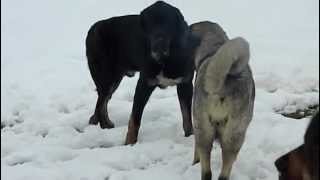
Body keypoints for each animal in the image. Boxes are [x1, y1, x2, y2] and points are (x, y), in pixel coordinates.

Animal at [86, 0, 199, 144]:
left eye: (168, 23)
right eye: (150, 24)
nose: (158, 44)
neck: (165, 59)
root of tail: (93, 28)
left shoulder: (185, 85)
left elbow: (187, 118)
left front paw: (190, 137)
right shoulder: (144, 84)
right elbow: (135, 119)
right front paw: (130, 143)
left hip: (113, 79)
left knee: (101, 103)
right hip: (107, 77)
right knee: (101, 103)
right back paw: (104, 125)